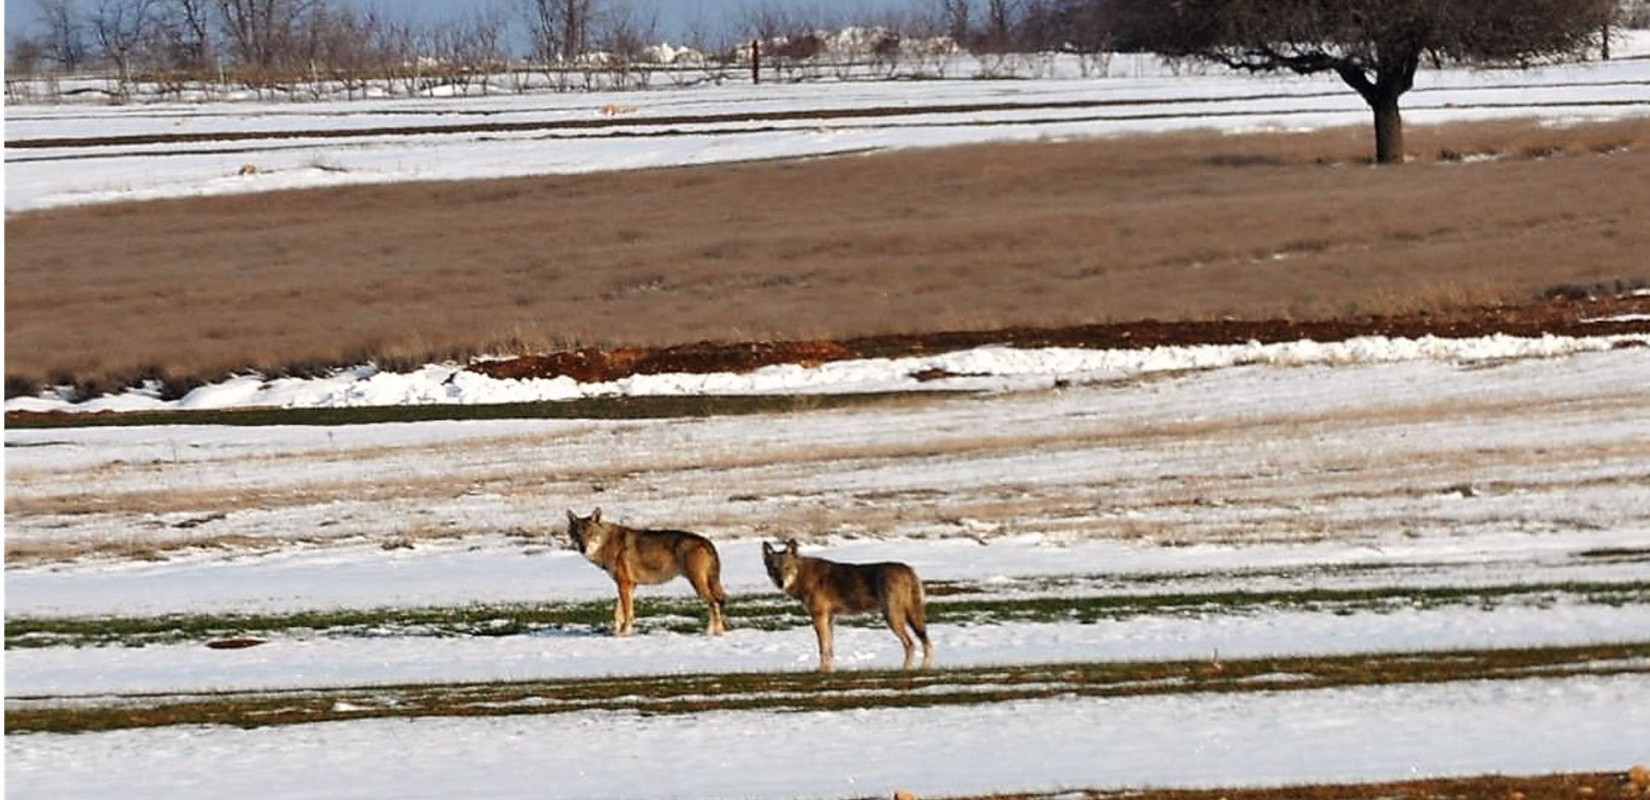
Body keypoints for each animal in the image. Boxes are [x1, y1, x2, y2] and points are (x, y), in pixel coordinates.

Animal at [564, 504, 726, 636]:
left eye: (590, 534)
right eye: (577, 534)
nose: (583, 548)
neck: (608, 543)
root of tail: (706, 541)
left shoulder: (624, 584)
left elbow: (627, 613)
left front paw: (624, 633)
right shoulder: (629, 585)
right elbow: (619, 613)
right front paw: (619, 633)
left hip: (698, 586)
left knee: (714, 604)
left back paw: (713, 633)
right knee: (716, 604)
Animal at [759, 541, 930, 669]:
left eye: (787, 568)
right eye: (774, 568)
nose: (780, 582)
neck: (803, 576)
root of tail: (908, 569)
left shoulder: (819, 617)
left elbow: (822, 648)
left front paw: (822, 670)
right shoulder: (830, 618)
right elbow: (830, 649)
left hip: (892, 618)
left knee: (911, 644)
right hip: (910, 617)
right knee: (926, 642)